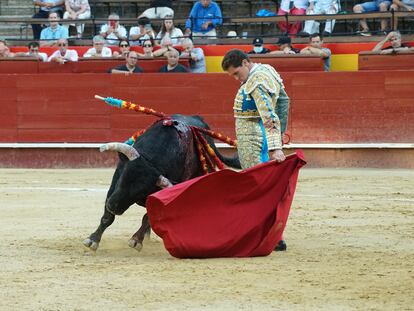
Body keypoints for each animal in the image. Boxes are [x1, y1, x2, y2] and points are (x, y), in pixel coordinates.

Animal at [82, 114, 241, 254]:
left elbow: (148, 217)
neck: (153, 159)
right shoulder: (115, 182)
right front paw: (92, 240)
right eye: (124, 178)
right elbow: (107, 217)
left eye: (141, 191)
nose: (113, 206)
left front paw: (136, 240)